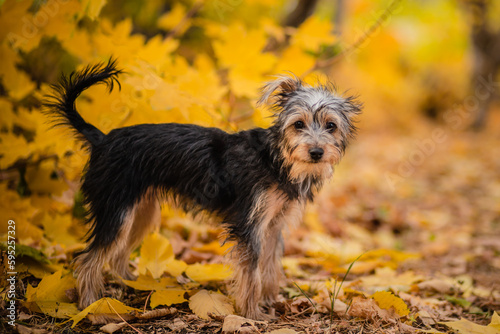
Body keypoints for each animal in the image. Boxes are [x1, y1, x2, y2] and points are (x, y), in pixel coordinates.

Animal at [45, 58, 362, 320]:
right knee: (88, 259)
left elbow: (270, 265)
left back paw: (132, 284)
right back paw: (91, 307)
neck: (275, 159)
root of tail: (101, 139)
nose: (317, 152)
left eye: (331, 126)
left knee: (116, 255)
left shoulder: (273, 224)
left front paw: (270, 300)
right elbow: (252, 271)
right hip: (116, 209)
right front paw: (252, 313)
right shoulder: (249, 224)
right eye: (298, 124)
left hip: (141, 212)